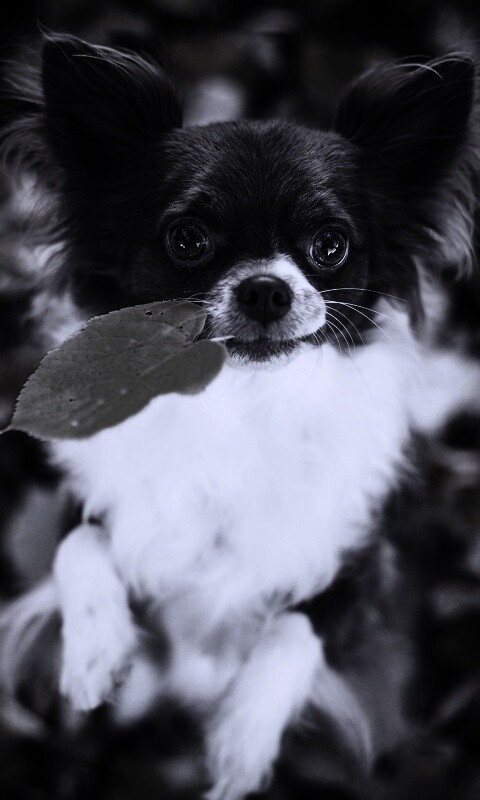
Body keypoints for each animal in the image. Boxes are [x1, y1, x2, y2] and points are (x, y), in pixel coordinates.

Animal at [0, 35, 479, 800]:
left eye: (331, 246)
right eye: (188, 240)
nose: (265, 289)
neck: (240, 403)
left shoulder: (365, 567)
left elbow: (299, 627)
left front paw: (242, 744)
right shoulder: (95, 496)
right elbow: (80, 542)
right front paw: (95, 652)